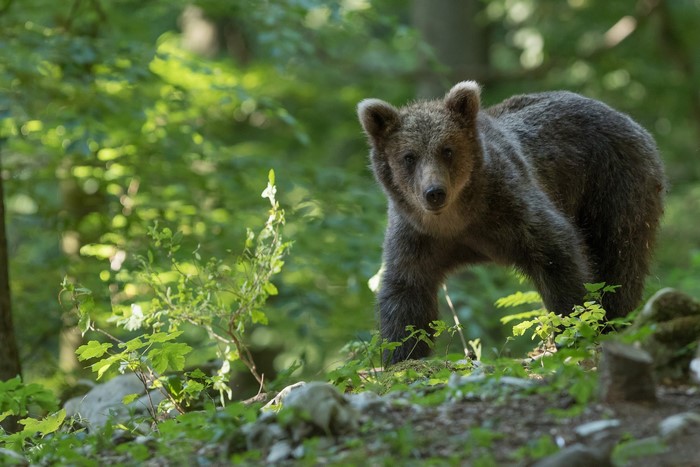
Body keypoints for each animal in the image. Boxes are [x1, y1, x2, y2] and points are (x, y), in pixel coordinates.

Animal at [357, 81, 666, 364]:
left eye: (447, 149)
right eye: (409, 156)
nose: (434, 192)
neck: (460, 220)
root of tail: (625, 118)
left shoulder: (512, 206)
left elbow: (557, 255)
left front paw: (575, 329)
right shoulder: (418, 236)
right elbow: (406, 292)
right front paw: (401, 355)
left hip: (613, 183)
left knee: (620, 260)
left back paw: (617, 320)